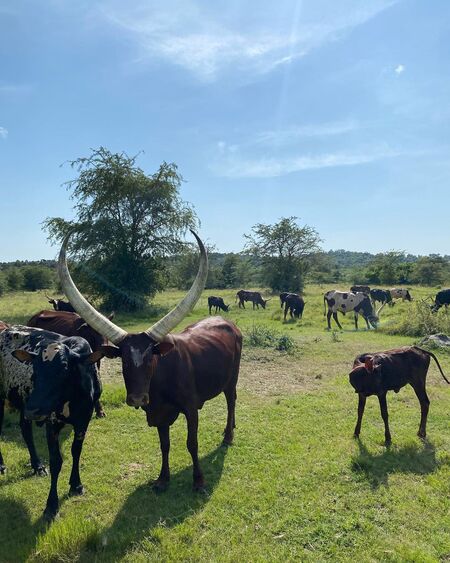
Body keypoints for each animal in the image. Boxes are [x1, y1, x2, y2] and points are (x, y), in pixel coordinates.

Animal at [0, 328, 102, 524]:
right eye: (34, 372)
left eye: (64, 369)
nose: (33, 409)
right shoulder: (52, 423)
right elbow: (56, 461)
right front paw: (51, 506)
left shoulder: (83, 420)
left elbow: (76, 451)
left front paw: (76, 484)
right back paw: (2, 466)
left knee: (26, 430)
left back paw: (37, 465)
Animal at [60, 231, 244, 492]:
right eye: (123, 361)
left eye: (150, 360)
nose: (138, 399)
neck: (160, 384)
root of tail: (228, 322)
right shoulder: (158, 414)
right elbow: (164, 445)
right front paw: (162, 479)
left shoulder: (191, 408)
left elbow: (192, 443)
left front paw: (198, 480)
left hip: (231, 380)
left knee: (231, 402)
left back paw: (228, 435)